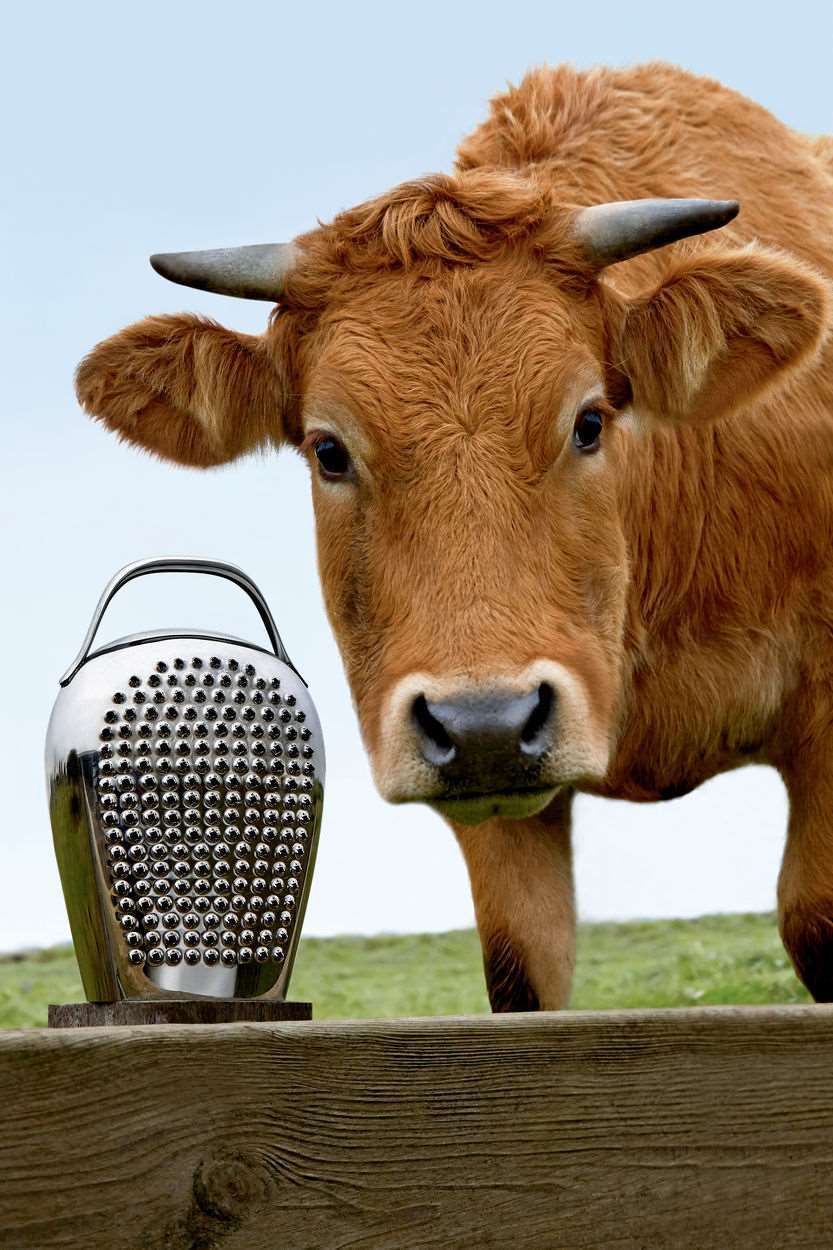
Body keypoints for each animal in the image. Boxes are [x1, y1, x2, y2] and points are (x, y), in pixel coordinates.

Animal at [75, 62, 833, 1012]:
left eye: (588, 421)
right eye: (329, 450)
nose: (484, 724)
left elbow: (813, 919)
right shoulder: (495, 806)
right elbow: (522, 969)